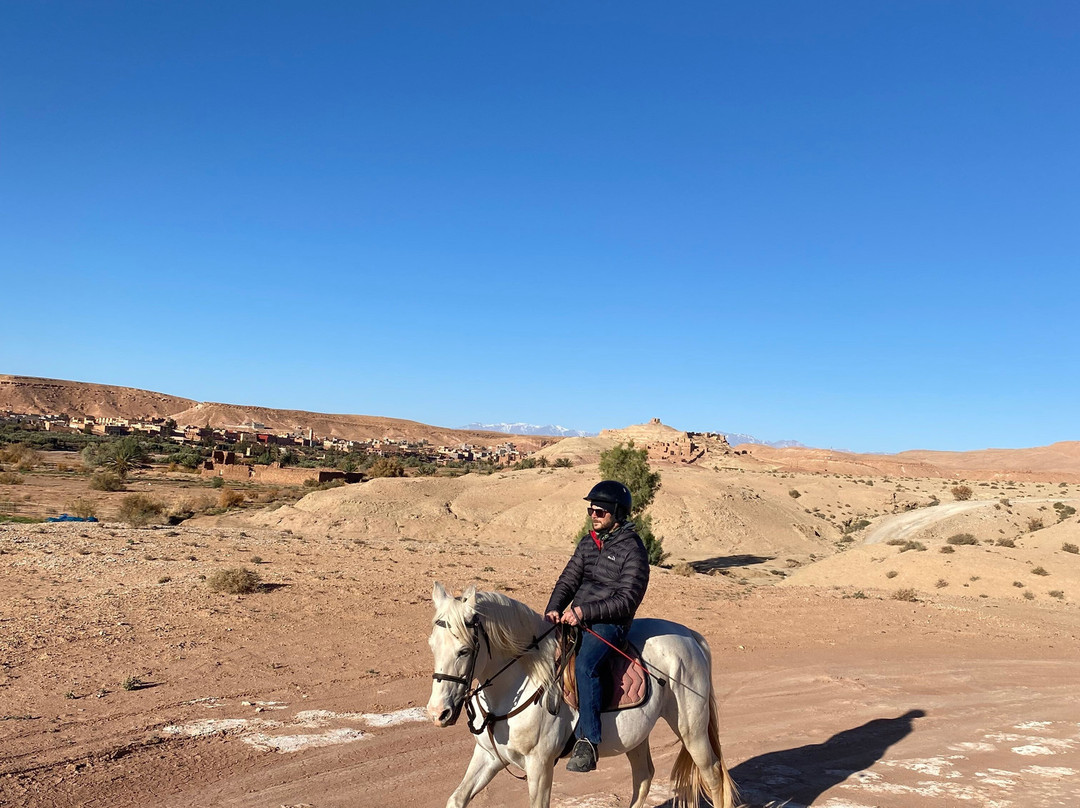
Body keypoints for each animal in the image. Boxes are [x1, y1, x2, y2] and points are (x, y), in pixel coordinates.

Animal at [426, 582, 739, 808]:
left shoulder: (540, 766)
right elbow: (456, 799)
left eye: (464, 650)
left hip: (692, 729)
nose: (437, 713)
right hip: (638, 734)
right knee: (643, 778)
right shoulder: (489, 757)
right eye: (431, 645)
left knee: (712, 774)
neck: (521, 680)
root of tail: (690, 635)